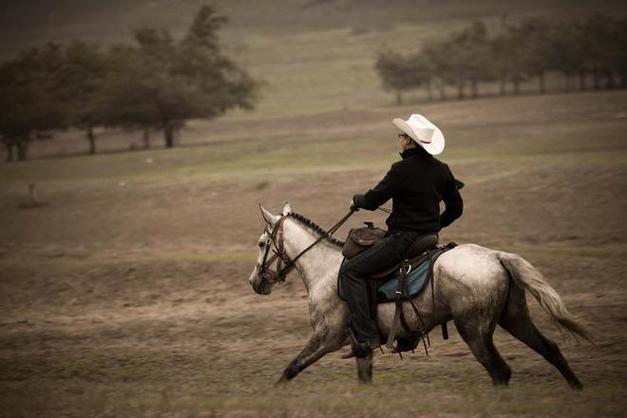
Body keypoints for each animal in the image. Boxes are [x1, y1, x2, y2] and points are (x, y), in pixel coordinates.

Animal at [248, 202, 592, 388]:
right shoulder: (361, 345)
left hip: (475, 329)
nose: (254, 281)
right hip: (514, 316)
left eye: (262, 243)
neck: (325, 268)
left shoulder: (327, 337)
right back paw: (577, 390)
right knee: (550, 350)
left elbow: (290, 369)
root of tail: (496, 257)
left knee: (500, 370)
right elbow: (364, 379)